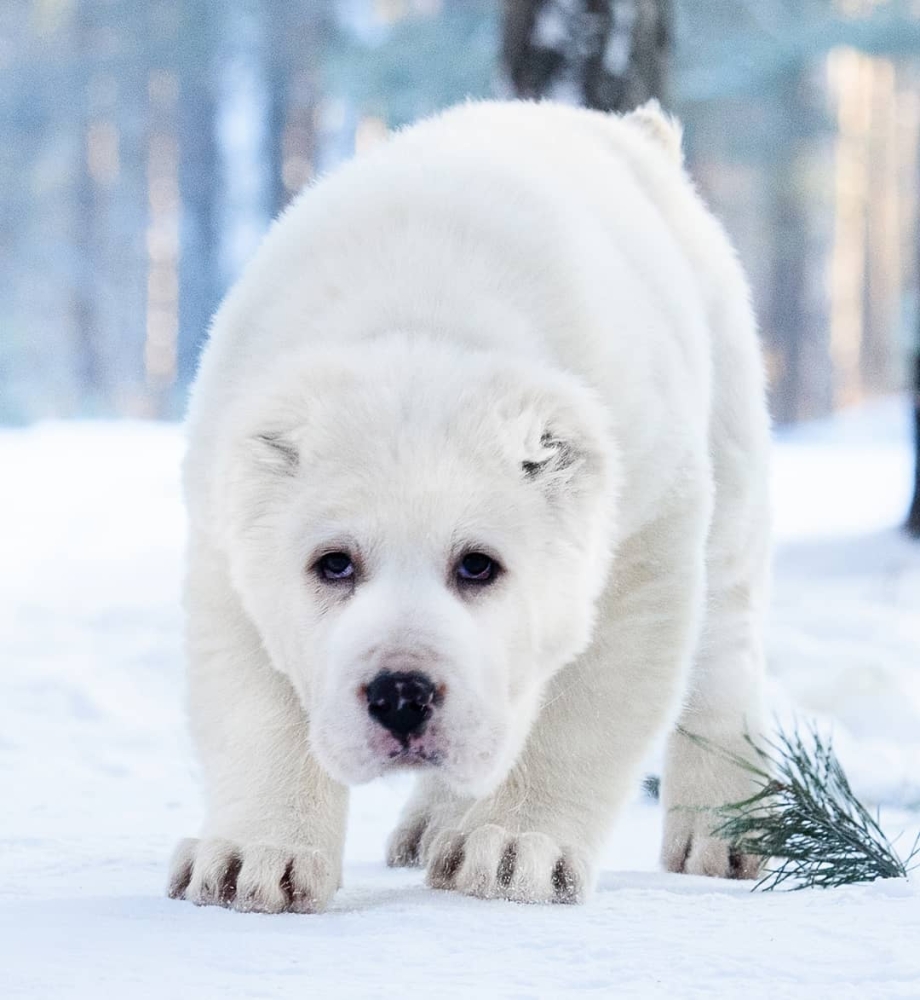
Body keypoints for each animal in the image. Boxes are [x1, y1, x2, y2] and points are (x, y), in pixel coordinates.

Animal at [167, 101, 768, 916]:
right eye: (333, 562)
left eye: (479, 564)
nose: (401, 694)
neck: (424, 322)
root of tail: (633, 133)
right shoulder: (228, 504)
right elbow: (253, 687)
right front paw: (249, 864)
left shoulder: (644, 510)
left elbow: (592, 688)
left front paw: (512, 853)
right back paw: (428, 826)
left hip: (726, 399)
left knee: (724, 633)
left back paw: (723, 835)